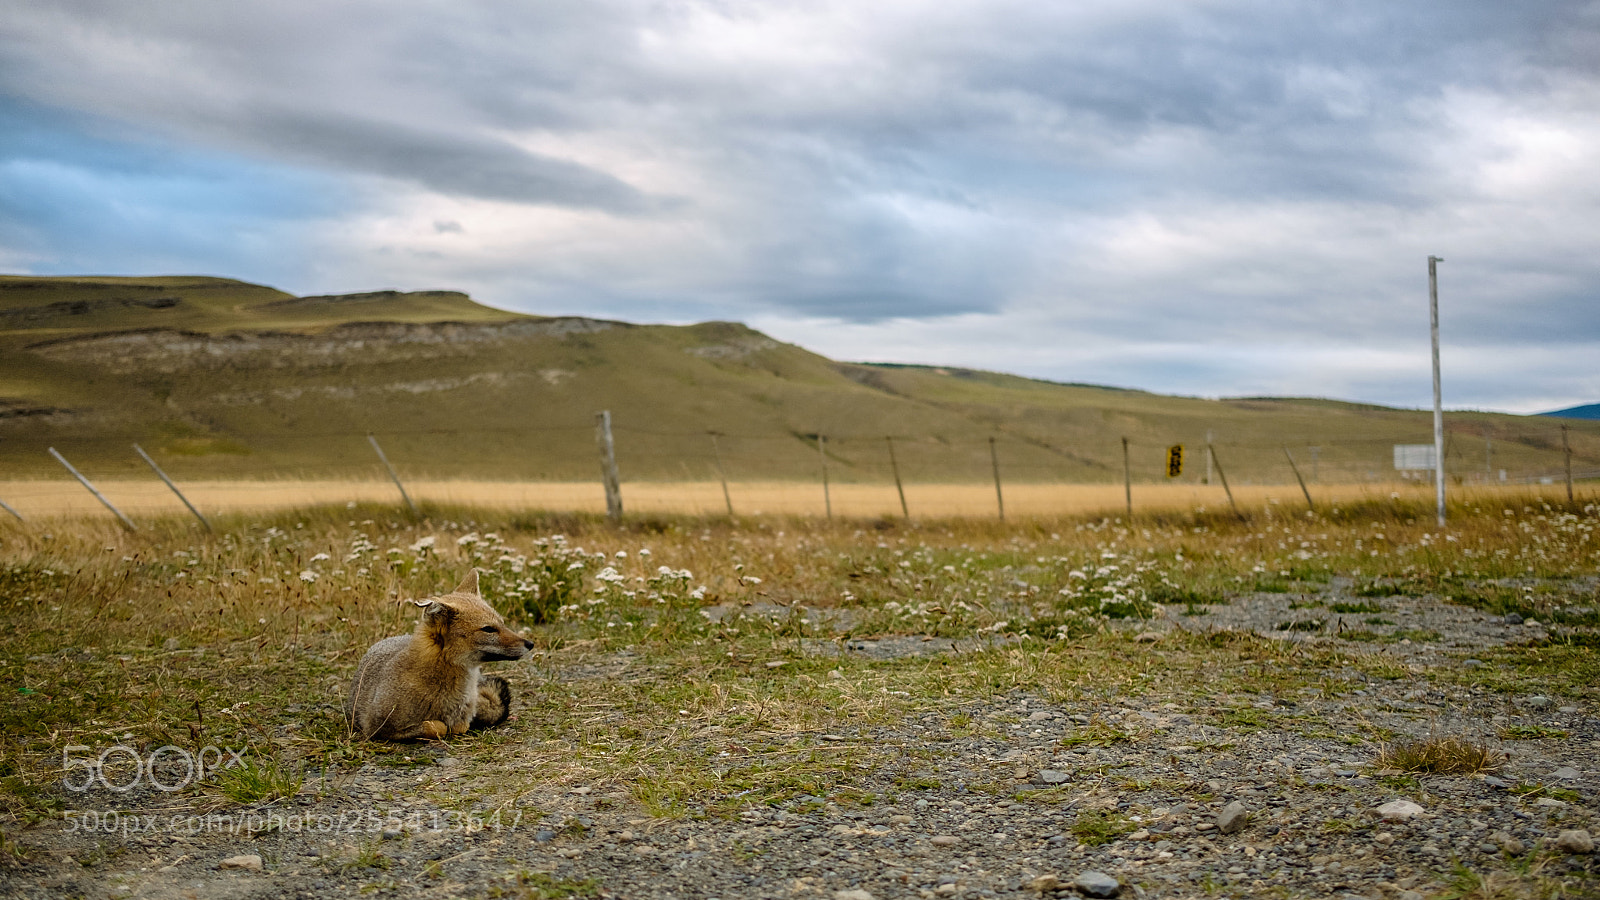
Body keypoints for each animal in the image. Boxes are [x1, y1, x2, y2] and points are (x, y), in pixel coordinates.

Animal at [346, 570, 534, 741]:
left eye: (502, 623)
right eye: (488, 629)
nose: (530, 644)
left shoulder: (464, 718)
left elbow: (460, 726)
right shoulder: (376, 726)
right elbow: (437, 726)